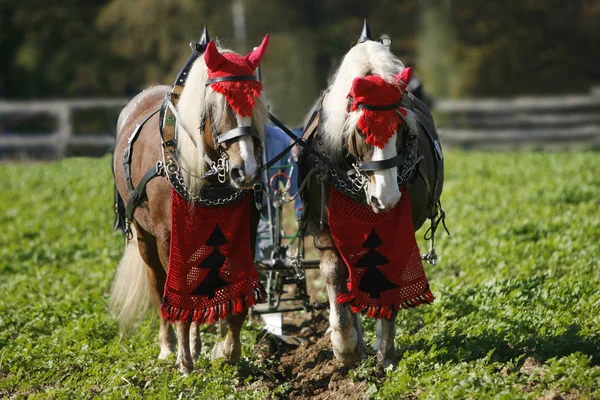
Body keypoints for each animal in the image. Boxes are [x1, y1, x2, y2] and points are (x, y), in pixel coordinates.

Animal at [112, 26, 270, 374]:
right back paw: (169, 346)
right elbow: (175, 293)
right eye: (219, 106)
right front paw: (184, 361)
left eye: (256, 104)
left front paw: (227, 351)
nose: (247, 170)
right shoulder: (167, 237)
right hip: (144, 237)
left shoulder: (243, 231)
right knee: (159, 284)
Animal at [300, 20, 446, 368]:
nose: (386, 198)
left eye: (404, 131)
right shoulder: (322, 227)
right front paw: (346, 345)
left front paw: (386, 352)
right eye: (360, 130)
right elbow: (334, 272)